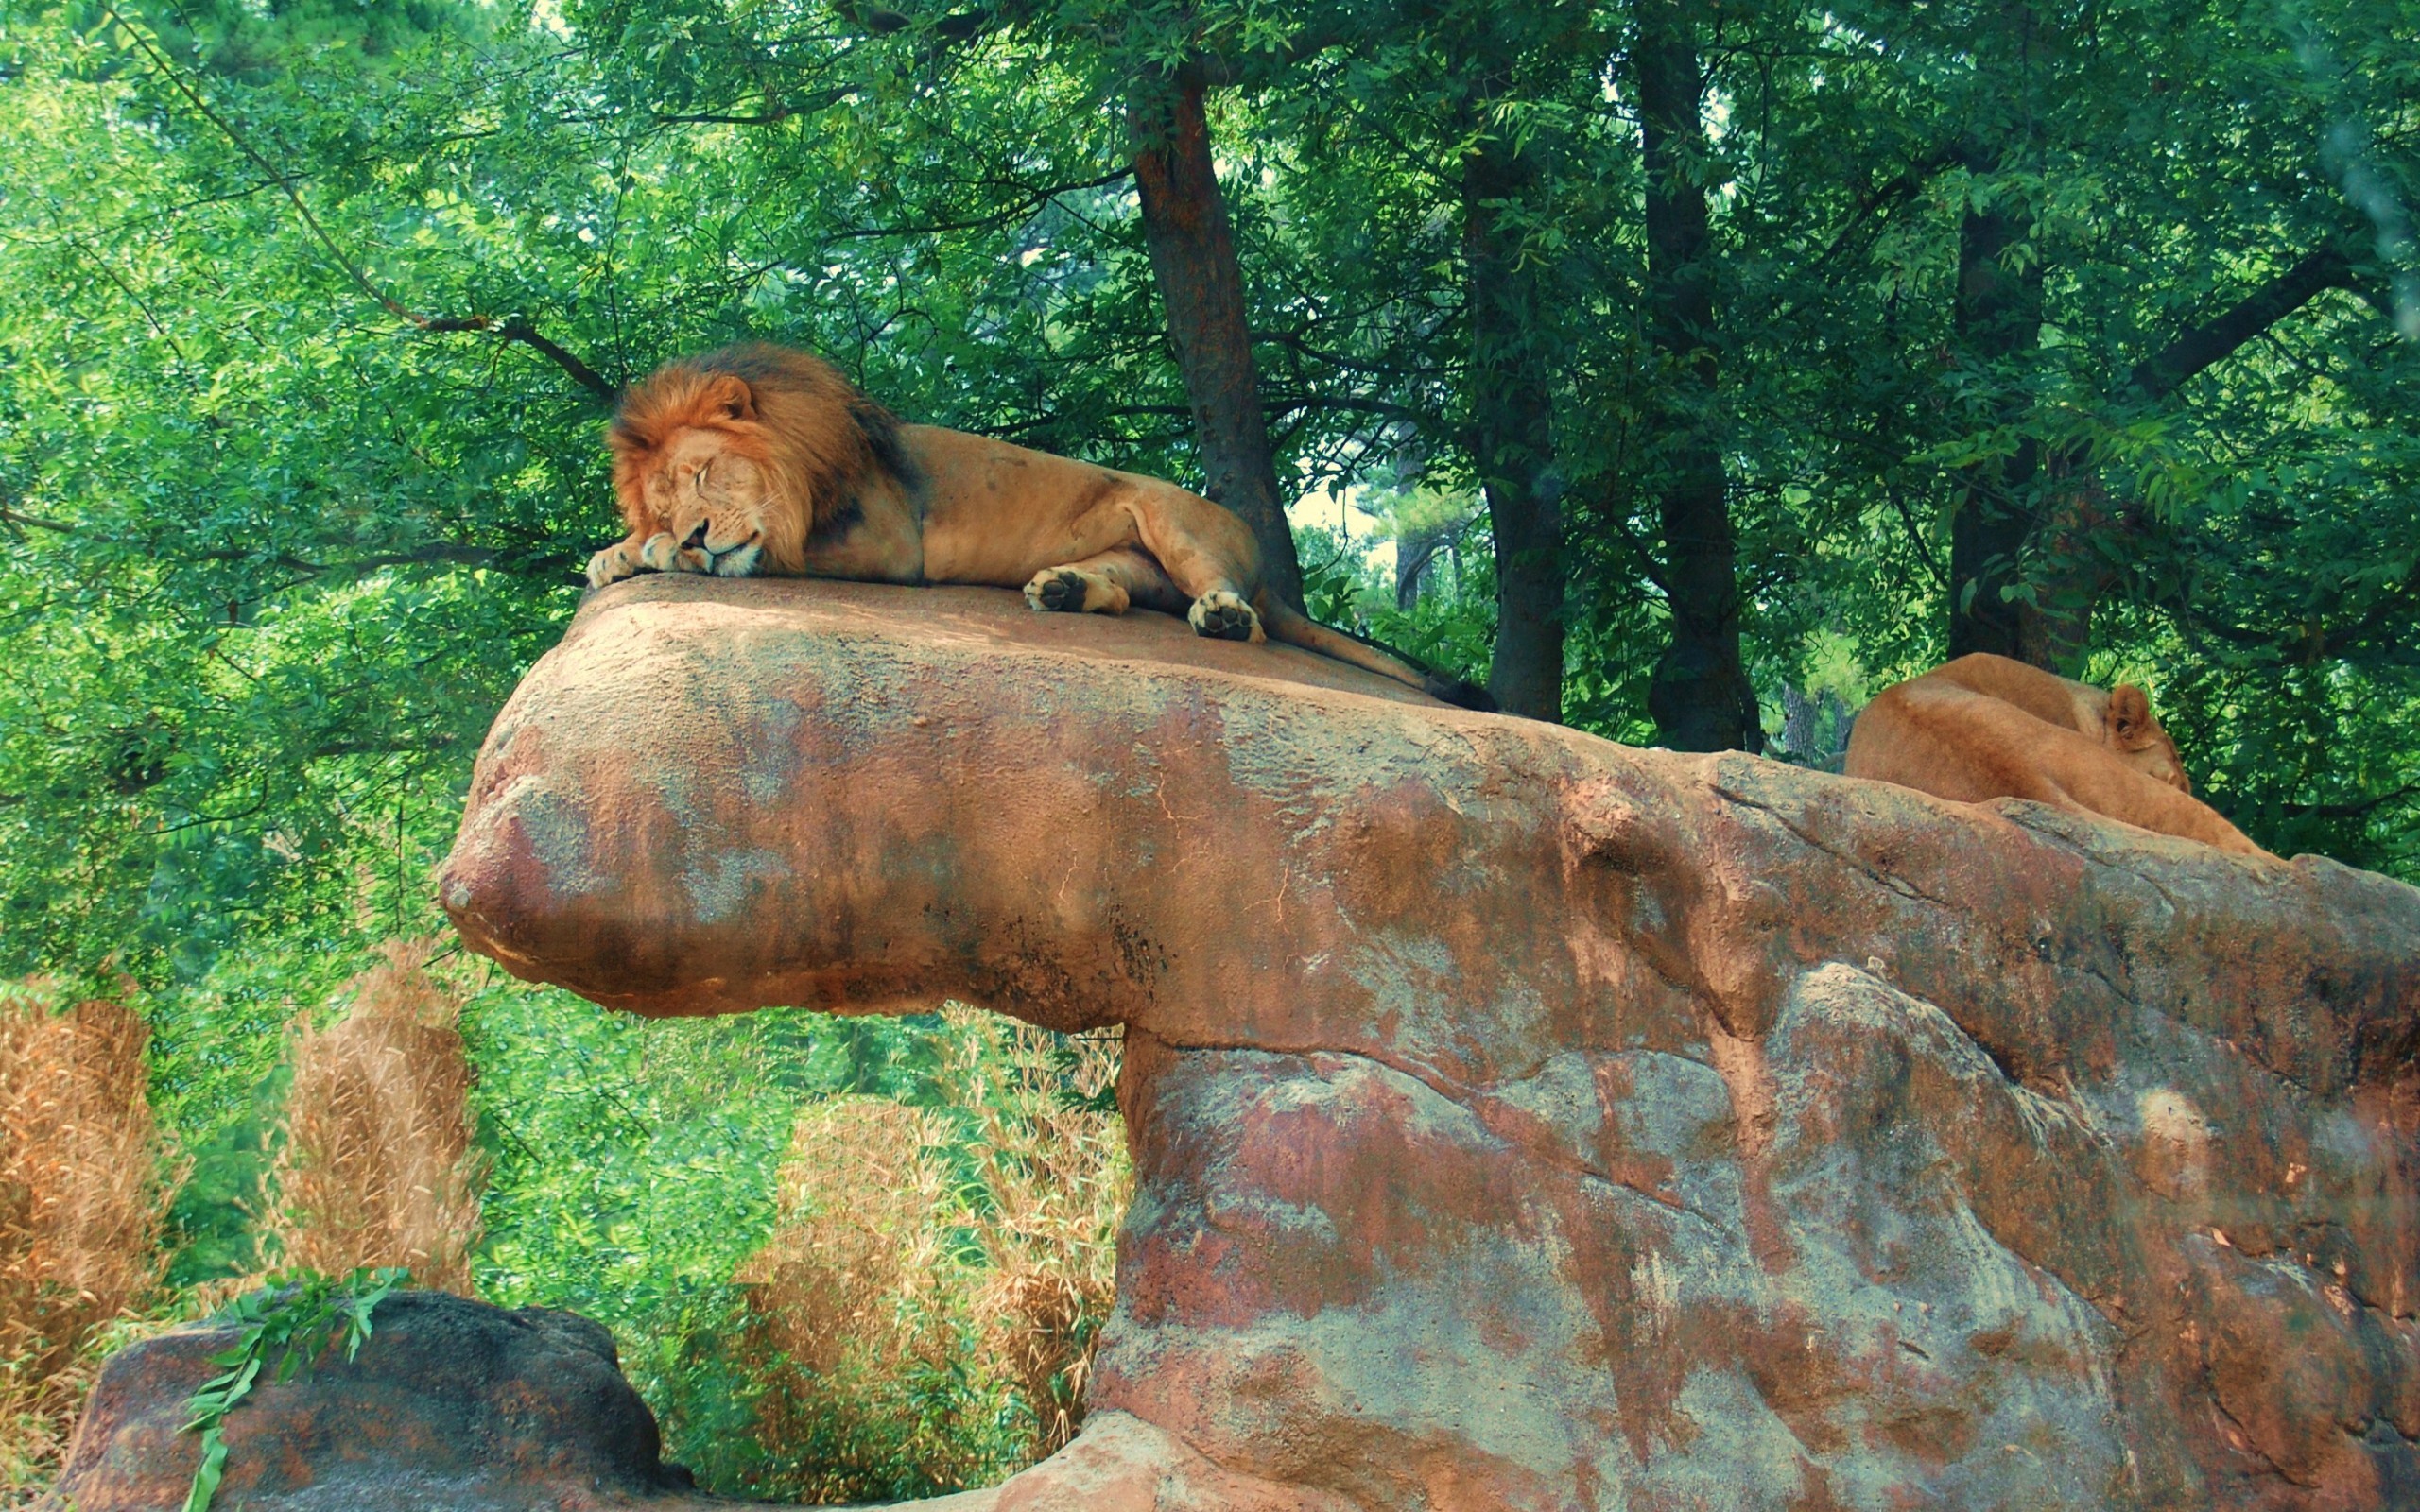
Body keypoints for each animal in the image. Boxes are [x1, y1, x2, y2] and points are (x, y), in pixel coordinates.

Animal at [585, 340, 1490, 706]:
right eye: (666, 496)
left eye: (703, 475)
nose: (690, 531)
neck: (806, 460)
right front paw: (618, 552)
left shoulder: (886, 540)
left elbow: (770, 552)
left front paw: (646, 551)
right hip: (1133, 559)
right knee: (1122, 595)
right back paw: (1060, 590)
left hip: (1173, 517)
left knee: (1238, 613)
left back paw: (1225, 618)